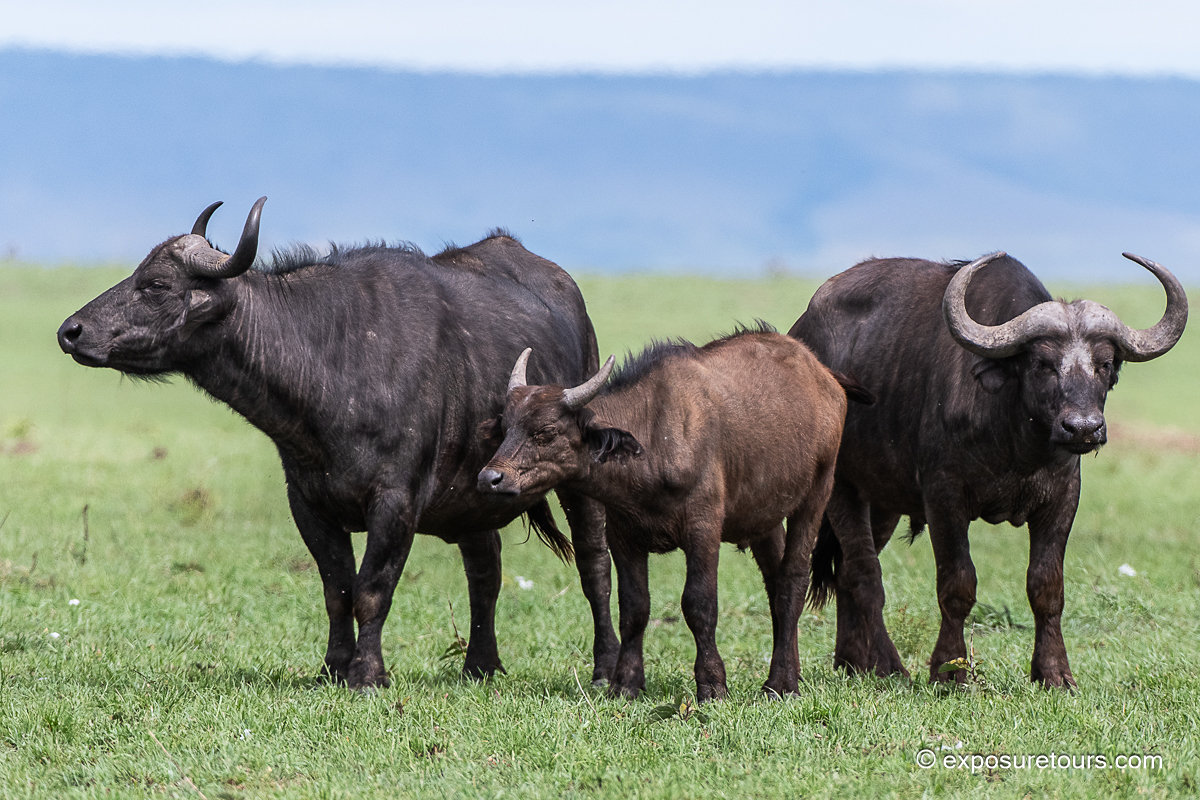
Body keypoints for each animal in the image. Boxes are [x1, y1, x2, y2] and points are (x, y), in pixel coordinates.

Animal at [57, 198, 620, 688]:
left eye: (156, 284)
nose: (71, 331)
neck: (334, 359)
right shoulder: (308, 503)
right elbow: (337, 590)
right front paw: (332, 668)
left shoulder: (395, 503)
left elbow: (371, 590)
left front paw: (367, 675)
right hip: (474, 498)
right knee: (485, 569)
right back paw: (480, 666)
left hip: (579, 482)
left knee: (594, 564)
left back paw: (604, 669)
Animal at [477, 328, 850, 701]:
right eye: (506, 428)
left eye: (546, 431)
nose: (490, 478)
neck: (653, 442)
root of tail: (824, 377)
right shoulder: (623, 535)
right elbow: (634, 607)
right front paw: (625, 683)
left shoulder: (703, 529)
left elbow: (699, 604)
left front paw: (712, 684)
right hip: (763, 517)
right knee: (774, 582)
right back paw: (791, 671)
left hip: (816, 492)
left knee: (792, 581)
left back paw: (781, 683)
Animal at [790, 251, 1188, 687]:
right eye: (1043, 363)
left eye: (1104, 364)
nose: (1083, 427)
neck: (1016, 442)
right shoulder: (944, 499)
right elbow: (957, 583)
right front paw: (949, 672)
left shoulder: (1062, 498)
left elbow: (1047, 587)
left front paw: (1054, 673)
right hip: (842, 487)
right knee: (864, 574)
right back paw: (889, 666)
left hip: (882, 500)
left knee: (846, 572)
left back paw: (852, 663)